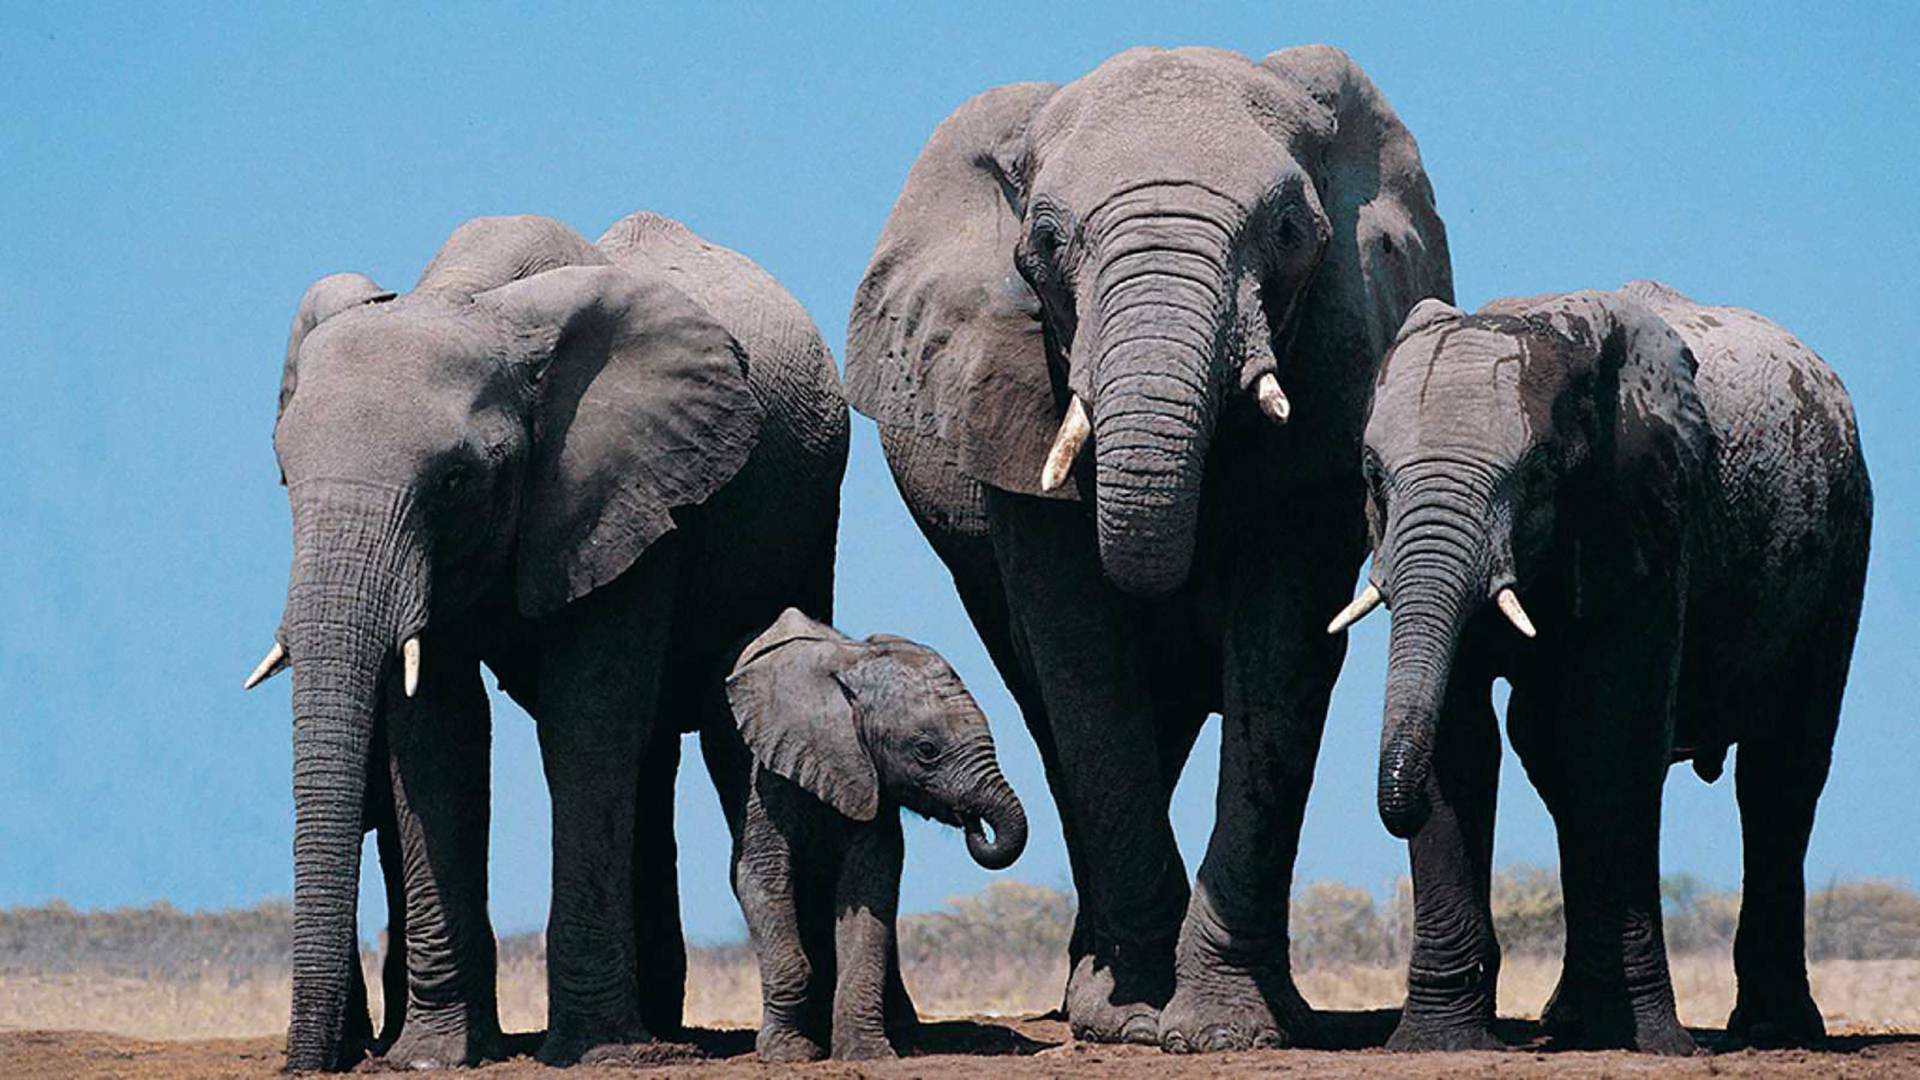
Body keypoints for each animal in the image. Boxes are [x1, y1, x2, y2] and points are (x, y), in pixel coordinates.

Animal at [249, 211, 848, 1069]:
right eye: (285, 477)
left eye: (455, 481)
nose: (315, 1064)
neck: (473, 296)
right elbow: (440, 735)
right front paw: (434, 1055)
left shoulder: (631, 490)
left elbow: (585, 721)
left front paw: (594, 1050)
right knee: (649, 756)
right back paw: (659, 1024)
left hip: (806, 525)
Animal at [720, 608, 1028, 1061]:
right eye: (926, 750)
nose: (973, 822)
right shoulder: (768, 771)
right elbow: (759, 876)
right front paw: (789, 1054)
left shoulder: (872, 783)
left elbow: (868, 888)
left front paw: (867, 1054)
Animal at [844, 46, 1451, 1051]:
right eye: (1045, 243)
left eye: (1290, 230)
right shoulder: (1011, 388)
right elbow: (1083, 655)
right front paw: (1129, 1021)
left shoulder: (1338, 370)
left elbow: (1281, 654)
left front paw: (1232, 1029)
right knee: (1051, 706)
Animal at [1330, 281, 1871, 1052]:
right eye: (1373, 475)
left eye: (1537, 474)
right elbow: (1462, 740)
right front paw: (1437, 1043)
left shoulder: (1651, 512)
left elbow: (1614, 734)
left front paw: (1653, 1044)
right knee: (1550, 761)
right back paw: (1573, 1020)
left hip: (1844, 538)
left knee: (1781, 772)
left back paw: (1775, 1030)